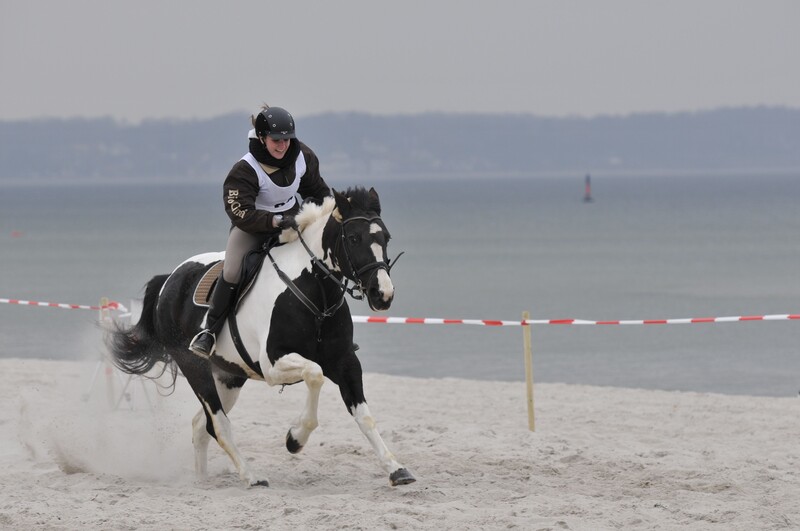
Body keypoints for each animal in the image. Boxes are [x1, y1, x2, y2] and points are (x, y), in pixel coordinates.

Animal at [107, 187, 415, 487]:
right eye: (353, 238)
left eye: (385, 237)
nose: (383, 295)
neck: (313, 293)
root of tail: (169, 280)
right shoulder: (273, 365)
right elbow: (314, 374)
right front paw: (295, 439)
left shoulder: (345, 362)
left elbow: (364, 416)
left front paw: (396, 469)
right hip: (194, 366)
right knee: (218, 424)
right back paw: (251, 476)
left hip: (229, 377)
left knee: (200, 426)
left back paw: (201, 480)